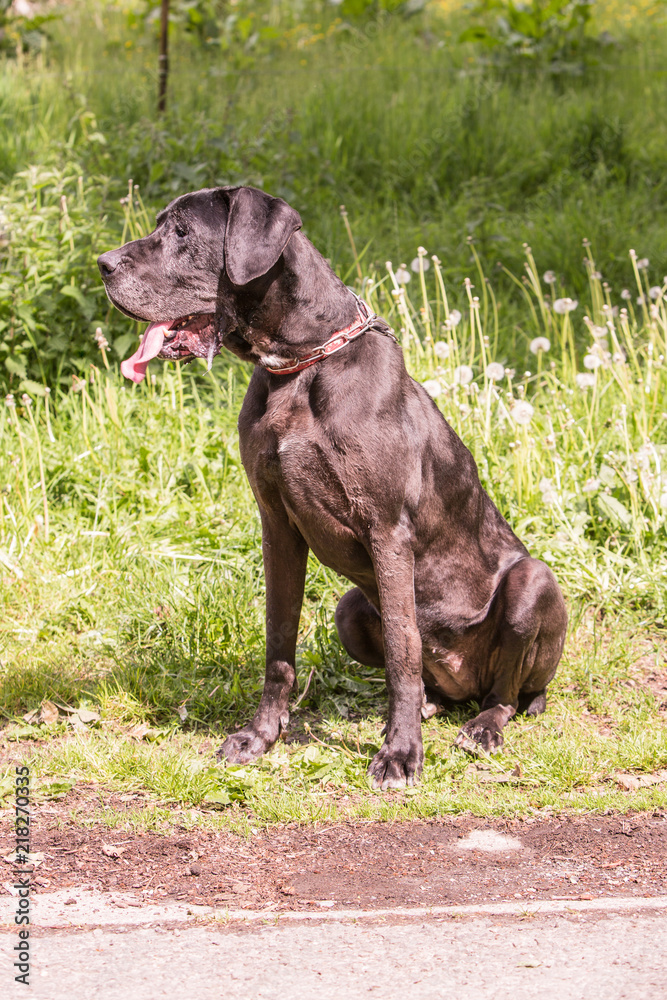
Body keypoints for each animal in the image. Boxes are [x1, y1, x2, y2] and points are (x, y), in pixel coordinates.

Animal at [100, 186, 568, 788]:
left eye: (181, 232)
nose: (103, 264)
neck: (299, 366)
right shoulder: (277, 526)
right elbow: (279, 640)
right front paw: (261, 736)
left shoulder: (387, 531)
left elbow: (403, 650)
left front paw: (400, 753)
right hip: (350, 610)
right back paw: (432, 706)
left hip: (532, 586)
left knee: (505, 694)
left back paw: (481, 727)